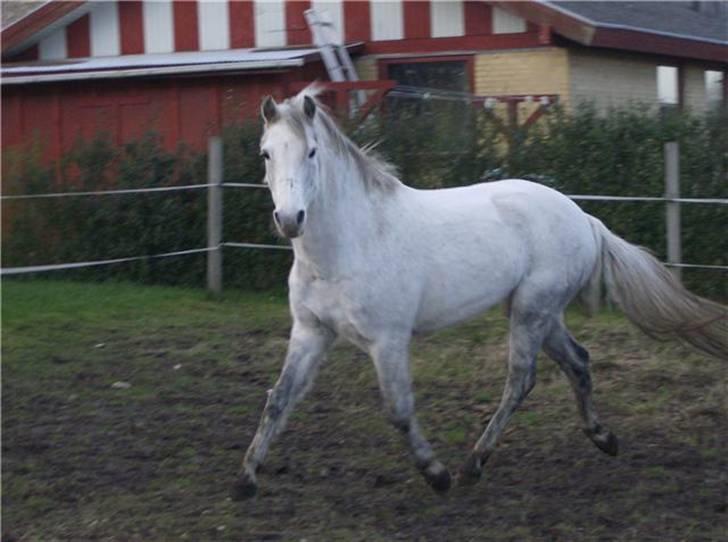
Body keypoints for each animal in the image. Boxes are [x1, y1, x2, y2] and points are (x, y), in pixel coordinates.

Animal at [232, 89, 724, 502]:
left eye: (312, 152)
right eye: (266, 153)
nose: (290, 219)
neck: (349, 245)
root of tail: (584, 218)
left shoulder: (387, 340)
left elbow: (399, 410)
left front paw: (436, 475)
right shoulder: (311, 332)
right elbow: (279, 398)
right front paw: (246, 479)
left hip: (531, 310)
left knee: (521, 379)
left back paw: (473, 464)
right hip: (541, 312)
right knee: (578, 361)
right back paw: (603, 439)